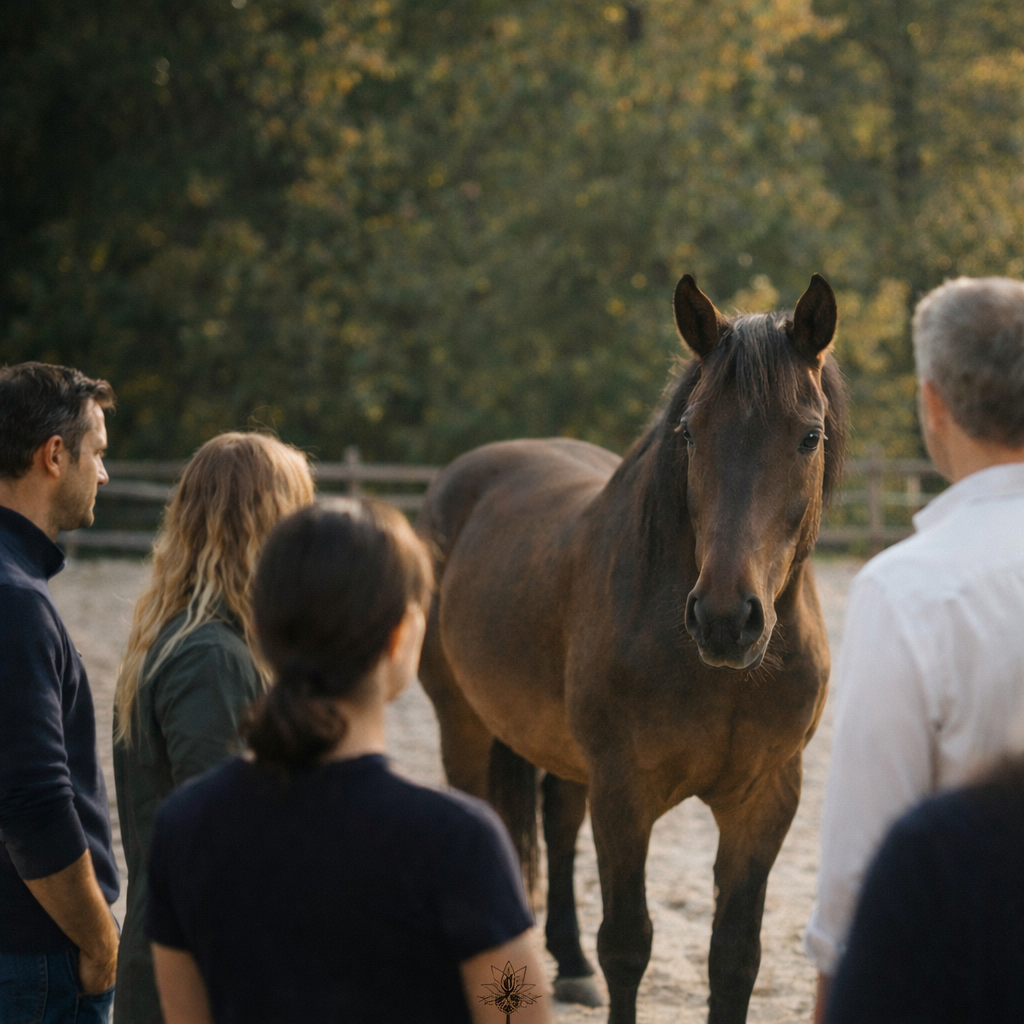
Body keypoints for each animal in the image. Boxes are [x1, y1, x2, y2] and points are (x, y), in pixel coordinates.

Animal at [416, 273, 848, 1024]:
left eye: (809, 436)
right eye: (690, 432)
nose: (726, 619)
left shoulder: (765, 799)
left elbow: (735, 958)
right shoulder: (624, 792)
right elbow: (627, 944)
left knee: (558, 827)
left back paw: (568, 965)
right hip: (464, 726)